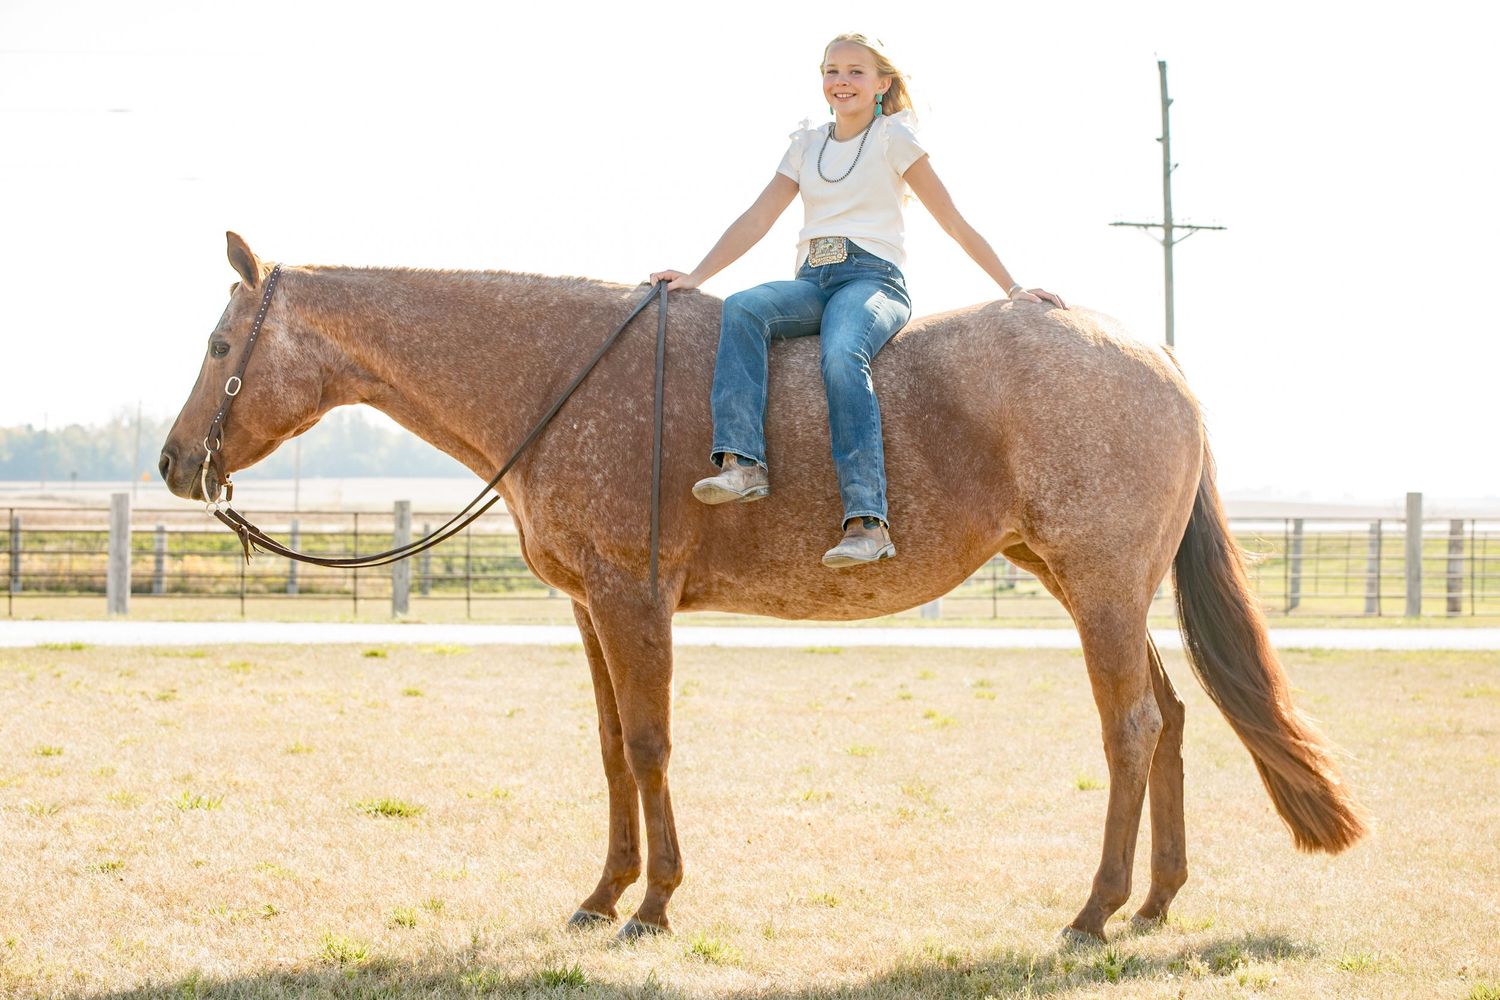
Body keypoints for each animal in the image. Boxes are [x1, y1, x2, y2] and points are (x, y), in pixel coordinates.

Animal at [159, 233, 1365, 943]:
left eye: (219, 341)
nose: (175, 463)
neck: (559, 373)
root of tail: (1160, 363)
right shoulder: (591, 608)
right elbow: (612, 749)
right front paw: (602, 894)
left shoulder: (634, 601)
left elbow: (650, 745)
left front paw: (654, 904)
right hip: (1093, 588)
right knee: (1169, 717)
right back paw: (1157, 900)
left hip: (1103, 590)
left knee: (1128, 728)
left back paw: (1096, 908)